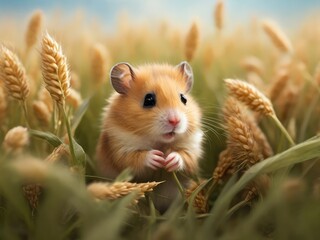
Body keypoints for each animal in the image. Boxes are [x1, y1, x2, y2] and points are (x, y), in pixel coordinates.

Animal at [96, 61, 204, 212]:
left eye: (184, 99)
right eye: (148, 100)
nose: (175, 121)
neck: (159, 141)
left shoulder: (192, 147)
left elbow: (186, 156)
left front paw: (170, 159)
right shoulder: (119, 147)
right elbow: (133, 159)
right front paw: (157, 158)